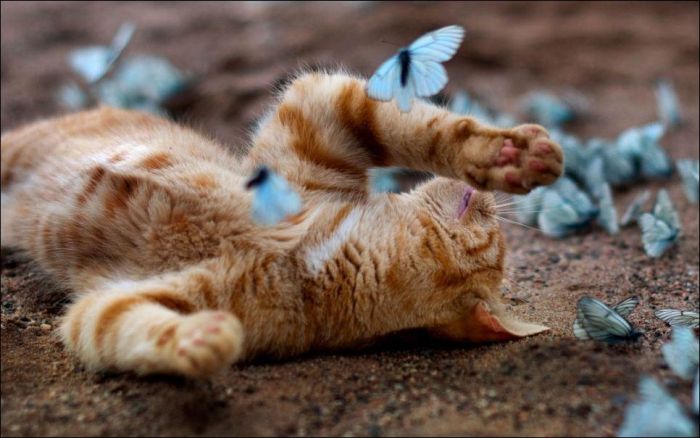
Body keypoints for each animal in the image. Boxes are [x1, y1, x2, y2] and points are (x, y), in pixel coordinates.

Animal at [0, 71, 564, 376]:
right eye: (491, 222)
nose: (489, 200)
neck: (306, 259)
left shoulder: (108, 304)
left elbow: (124, 328)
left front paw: (199, 342)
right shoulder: (317, 113)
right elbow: (424, 129)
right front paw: (507, 154)